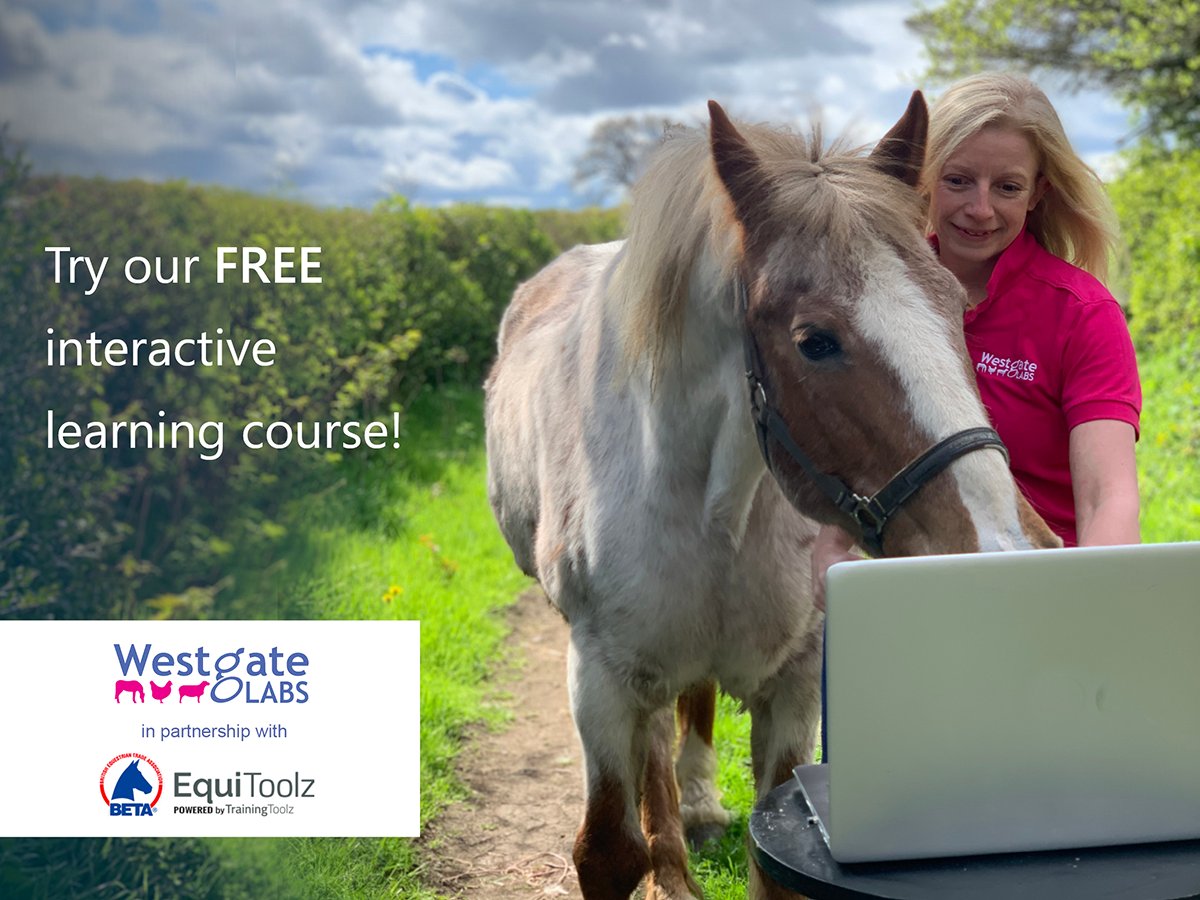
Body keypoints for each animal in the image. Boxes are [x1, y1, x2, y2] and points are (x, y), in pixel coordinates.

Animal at [485, 92, 1058, 900]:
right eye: (814, 340)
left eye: (955, 304)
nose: (999, 548)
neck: (714, 511)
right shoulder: (600, 681)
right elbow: (608, 850)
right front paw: (660, 864)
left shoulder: (793, 687)